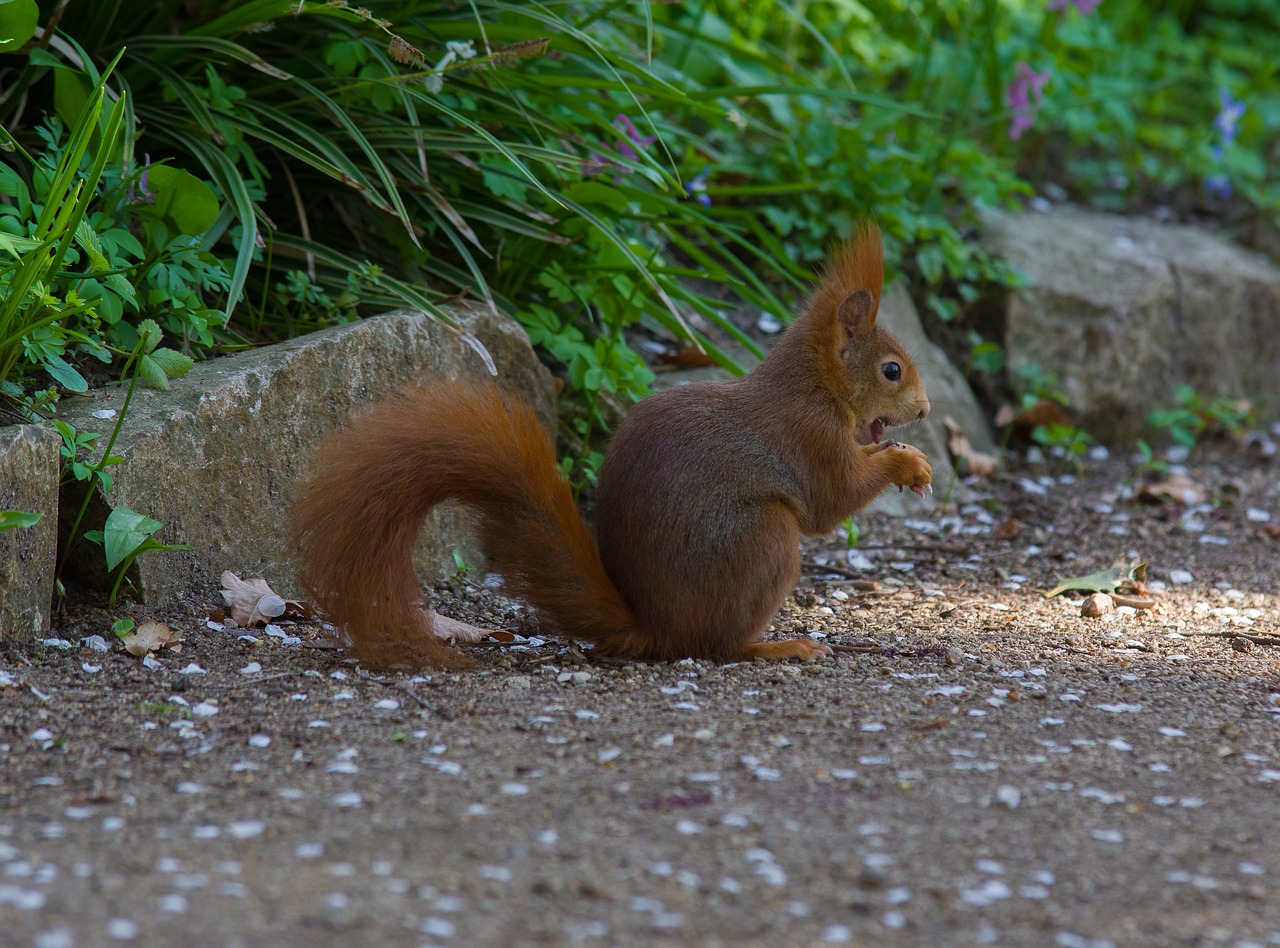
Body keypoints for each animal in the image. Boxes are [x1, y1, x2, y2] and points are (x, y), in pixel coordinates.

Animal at [290, 220, 931, 665]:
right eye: (892, 371)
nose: (925, 411)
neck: (815, 386)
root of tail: (656, 626)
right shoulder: (809, 438)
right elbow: (831, 500)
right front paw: (908, 465)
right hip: (763, 542)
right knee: (717, 646)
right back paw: (775, 647)